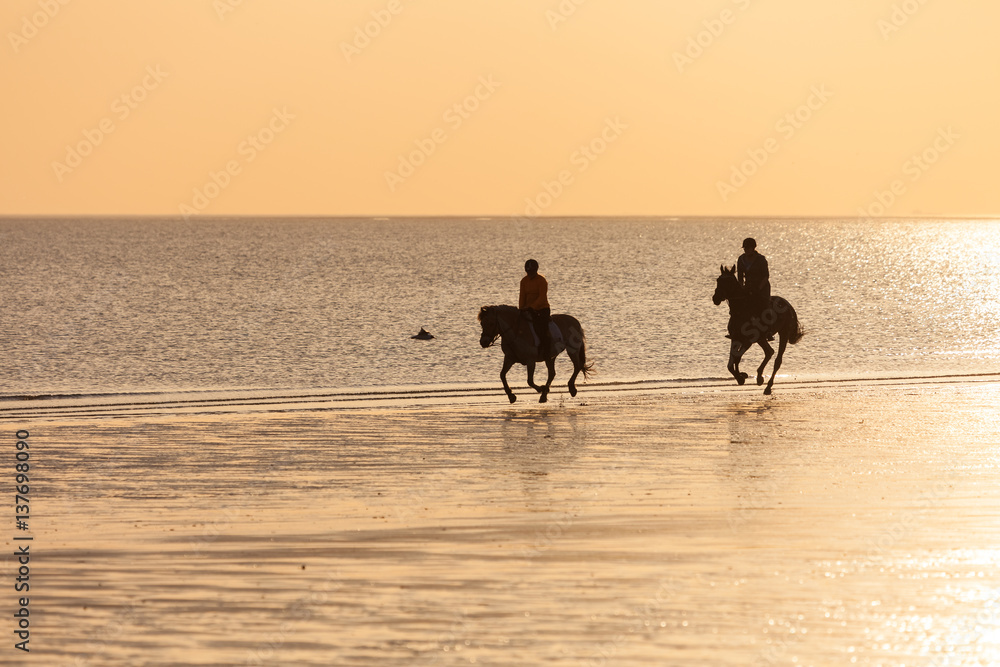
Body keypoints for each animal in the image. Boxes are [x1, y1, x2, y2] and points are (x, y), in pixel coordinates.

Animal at [712, 264, 804, 394]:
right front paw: (740, 376)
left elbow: (737, 357)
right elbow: (731, 362)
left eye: (728, 282)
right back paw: (760, 377)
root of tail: (788, 305)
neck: (741, 312)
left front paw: (741, 376)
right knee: (769, 352)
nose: (715, 298)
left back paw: (768, 386)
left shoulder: (749, 341)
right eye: (718, 280)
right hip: (762, 339)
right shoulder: (735, 338)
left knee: (777, 360)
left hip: (783, 334)